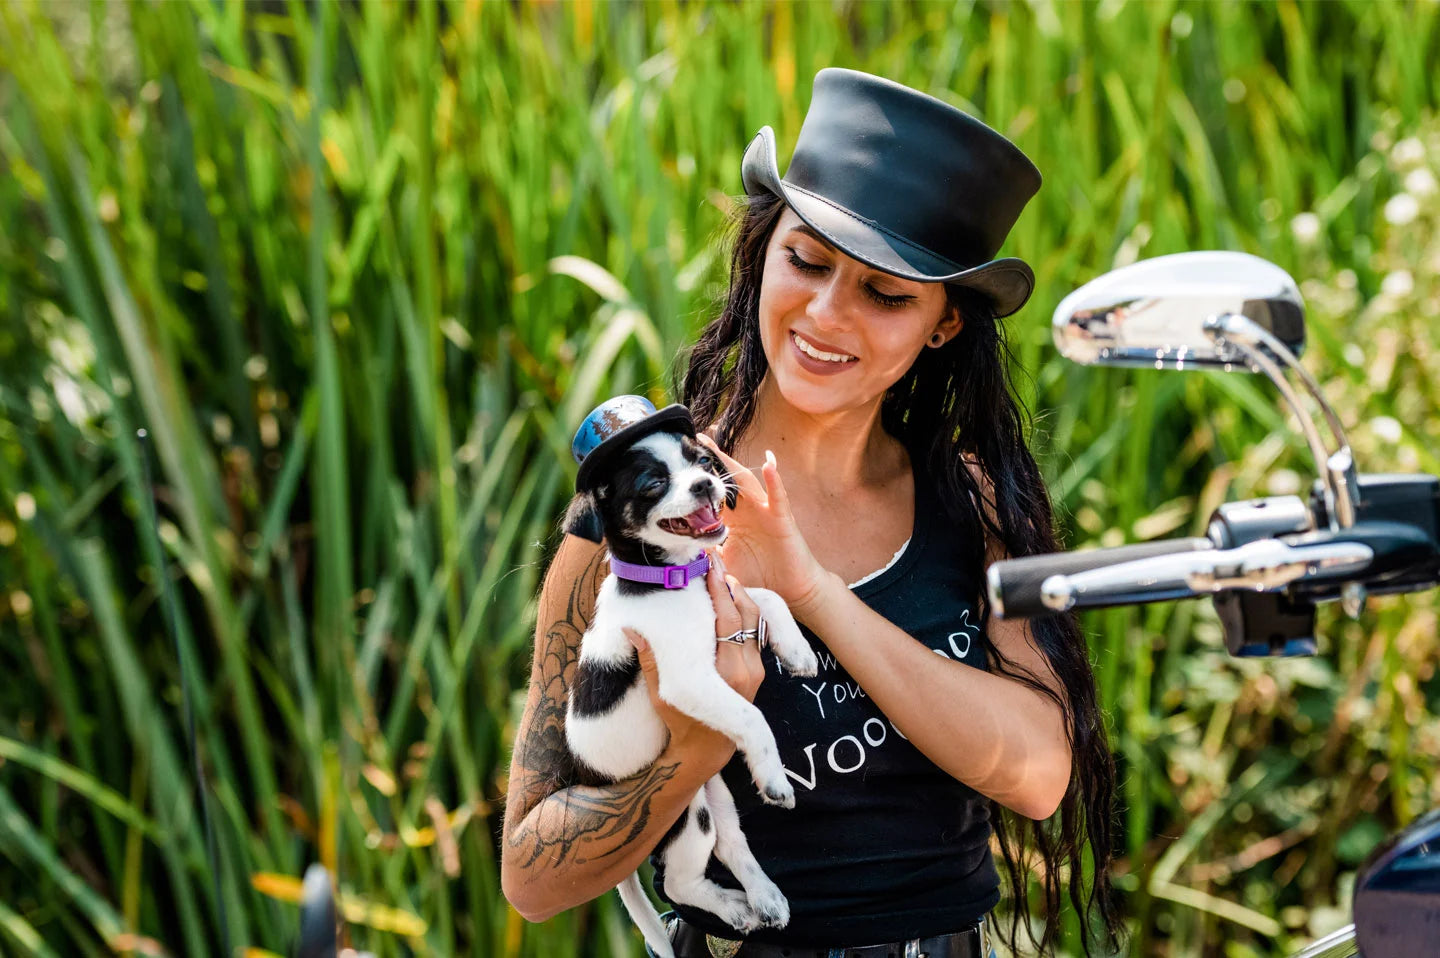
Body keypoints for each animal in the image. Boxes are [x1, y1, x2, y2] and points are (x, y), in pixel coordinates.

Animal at [564, 432, 823, 956]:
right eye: (653, 483)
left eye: (702, 461)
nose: (706, 483)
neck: (674, 582)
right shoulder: (688, 679)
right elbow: (751, 717)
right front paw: (774, 776)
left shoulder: (727, 600)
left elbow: (767, 595)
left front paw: (798, 650)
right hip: (683, 814)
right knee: (679, 883)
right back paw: (738, 906)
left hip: (712, 792)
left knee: (731, 844)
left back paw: (764, 899)